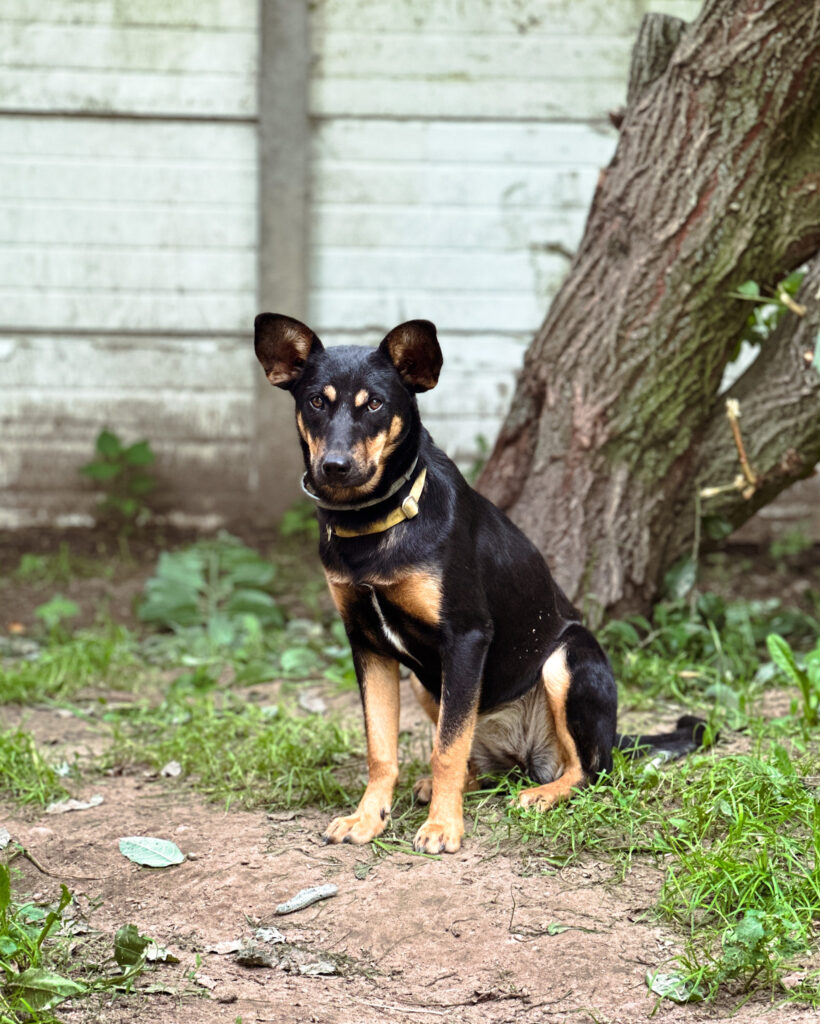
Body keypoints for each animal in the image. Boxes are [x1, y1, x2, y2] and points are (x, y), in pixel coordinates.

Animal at [254, 314, 706, 854]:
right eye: (315, 402)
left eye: (377, 404)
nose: (334, 467)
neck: (375, 522)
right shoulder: (368, 645)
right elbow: (383, 748)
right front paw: (368, 818)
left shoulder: (465, 637)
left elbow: (446, 748)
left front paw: (443, 827)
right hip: (429, 681)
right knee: (478, 758)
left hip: (565, 660)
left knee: (590, 769)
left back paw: (541, 794)